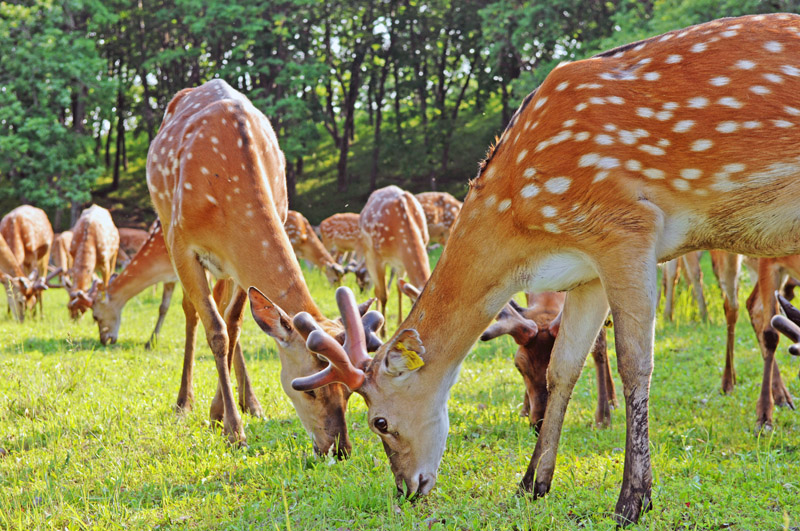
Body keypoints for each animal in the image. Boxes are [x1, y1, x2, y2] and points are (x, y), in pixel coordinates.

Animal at [148, 81, 384, 456]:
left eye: (350, 392)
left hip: (224, 271)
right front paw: (233, 430)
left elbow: (233, 327)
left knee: (228, 318)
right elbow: (216, 331)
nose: (339, 449)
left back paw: (250, 403)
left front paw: (220, 413)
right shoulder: (181, 243)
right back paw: (184, 401)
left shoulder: (238, 265)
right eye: (309, 389)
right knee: (192, 313)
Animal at [360, 185, 428, 326]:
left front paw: (400, 322)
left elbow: (399, 290)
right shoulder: (378, 257)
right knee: (377, 290)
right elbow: (384, 295)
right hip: (368, 251)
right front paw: (383, 329)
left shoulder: (402, 262)